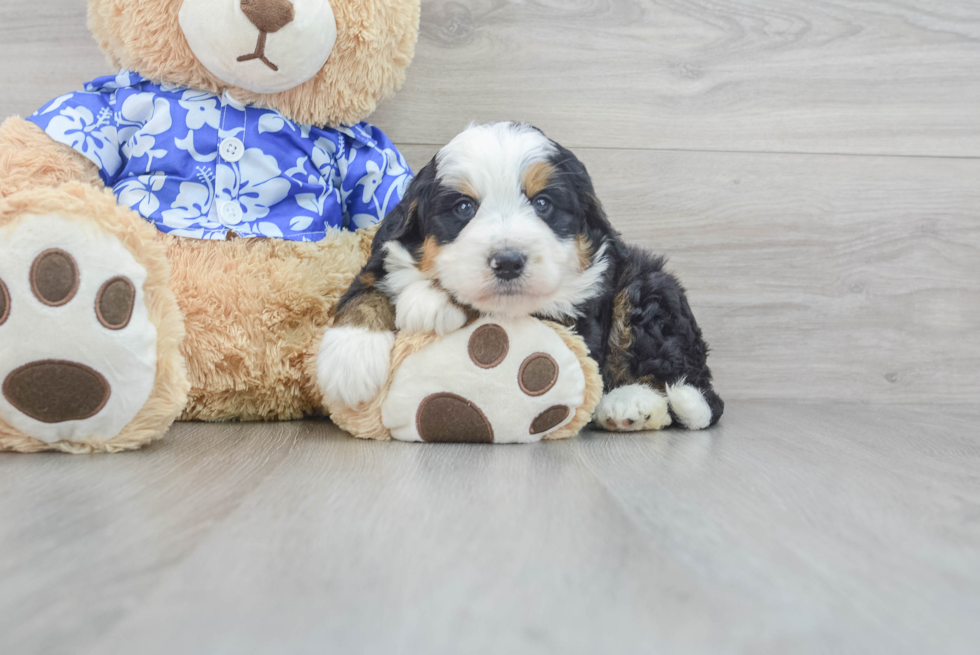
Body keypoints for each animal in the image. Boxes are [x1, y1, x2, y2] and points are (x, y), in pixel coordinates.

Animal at [318, 121, 724, 434]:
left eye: (542, 203)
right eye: (464, 207)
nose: (508, 262)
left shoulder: (574, 312)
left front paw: (431, 299)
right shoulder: (384, 252)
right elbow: (366, 288)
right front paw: (348, 358)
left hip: (648, 289)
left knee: (680, 381)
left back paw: (630, 405)